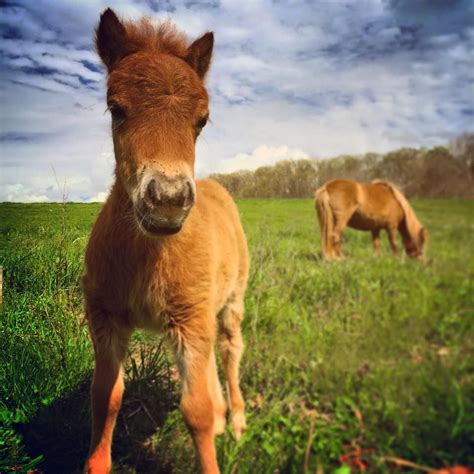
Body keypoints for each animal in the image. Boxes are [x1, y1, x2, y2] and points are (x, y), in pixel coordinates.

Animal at [83, 8, 250, 474]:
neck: (147, 259)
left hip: (230, 301)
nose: (168, 201)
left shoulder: (191, 319)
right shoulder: (104, 316)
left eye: (202, 120)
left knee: (229, 350)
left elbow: (197, 410)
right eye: (115, 108)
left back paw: (236, 419)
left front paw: (216, 432)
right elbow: (105, 397)